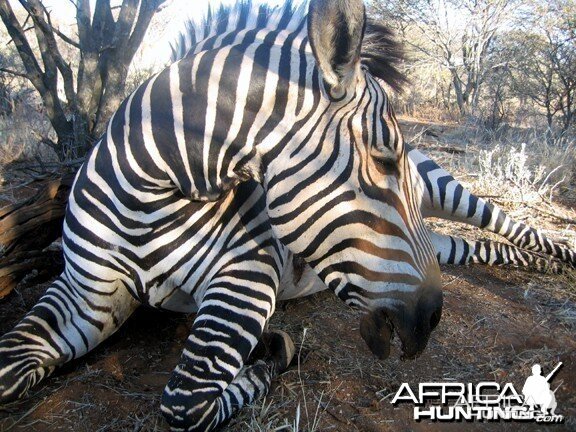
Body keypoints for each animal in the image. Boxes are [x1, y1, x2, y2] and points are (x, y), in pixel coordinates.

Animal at [0, 1, 446, 430]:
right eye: (384, 161)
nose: (433, 315)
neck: (146, 197)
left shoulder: (246, 275)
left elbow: (185, 404)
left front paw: (273, 354)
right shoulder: (83, 292)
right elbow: (7, 368)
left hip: (440, 188)